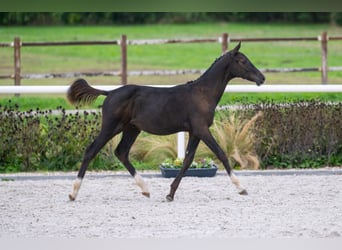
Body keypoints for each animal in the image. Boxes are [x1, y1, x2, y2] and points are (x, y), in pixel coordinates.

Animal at [67, 42, 264, 201]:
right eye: (242, 61)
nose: (262, 78)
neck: (202, 93)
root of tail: (110, 93)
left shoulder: (194, 132)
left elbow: (188, 160)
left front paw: (170, 193)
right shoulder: (202, 129)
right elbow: (221, 154)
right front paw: (241, 188)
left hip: (132, 129)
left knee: (121, 152)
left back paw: (145, 189)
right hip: (111, 127)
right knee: (91, 151)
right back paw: (73, 193)